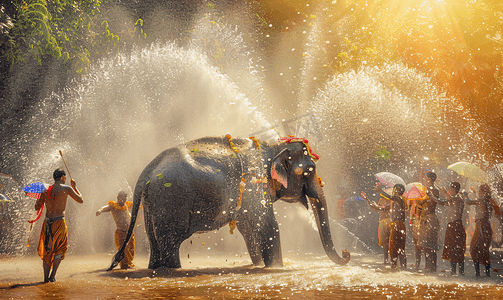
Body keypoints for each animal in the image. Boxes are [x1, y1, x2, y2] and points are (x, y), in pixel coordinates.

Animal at [109, 136, 350, 270]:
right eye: (309, 171)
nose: (347, 253)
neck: (272, 148)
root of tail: (146, 172)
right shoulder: (254, 185)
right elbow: (267, 226)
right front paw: (276, 268)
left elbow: (249, 228)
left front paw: (258, 265)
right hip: (170, 201)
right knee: (170, 243)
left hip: (153, 204)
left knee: (155, 243)